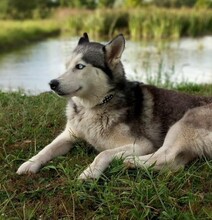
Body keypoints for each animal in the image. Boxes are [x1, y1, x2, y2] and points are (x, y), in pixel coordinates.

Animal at [16, 33, 212, 180]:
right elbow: (47, 148)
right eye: (66, 66)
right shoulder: (69, 135)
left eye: (80, 66)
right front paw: (30, 163)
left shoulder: (143, 144)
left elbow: (103, 154)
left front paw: (90, 172)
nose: (52, 83)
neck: (93, 106)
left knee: (163, 155)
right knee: (174, 165)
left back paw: (131, 161)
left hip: (183, 123)